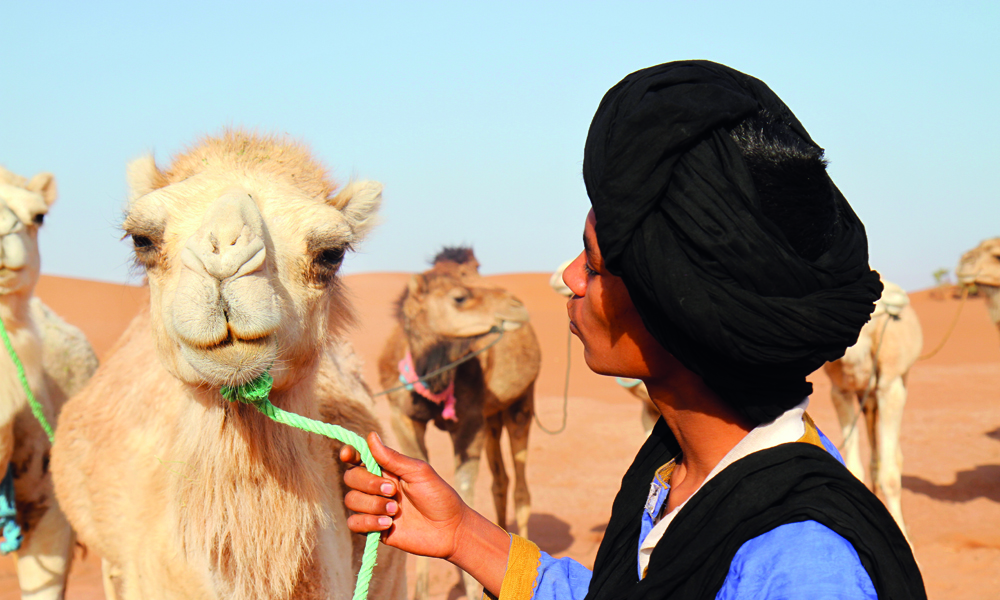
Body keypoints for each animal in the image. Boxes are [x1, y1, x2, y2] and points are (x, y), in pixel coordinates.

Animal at [378, 248, 544, 600]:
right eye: (459, 297)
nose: (516, 305)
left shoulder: (470, 422)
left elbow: (464, 490)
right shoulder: (402, 417)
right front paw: (421, 591)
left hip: (520, 402)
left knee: (521, 488)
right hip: (493, 414)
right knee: (500, 481)